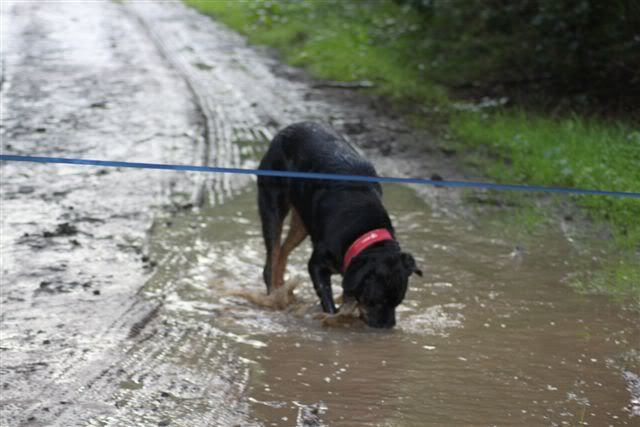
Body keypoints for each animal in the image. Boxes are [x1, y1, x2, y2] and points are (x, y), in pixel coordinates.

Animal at [258, 122, 422, 330]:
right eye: (375, 301)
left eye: (398, 301)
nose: (387, 326)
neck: (363, 233)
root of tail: (288, 130)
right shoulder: (317, 265)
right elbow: (327, 297)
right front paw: (333, 316)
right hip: (272, 202)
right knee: (273, 252)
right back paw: (274, 295)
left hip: (302, 221)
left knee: (284, 249)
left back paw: (283, 291)